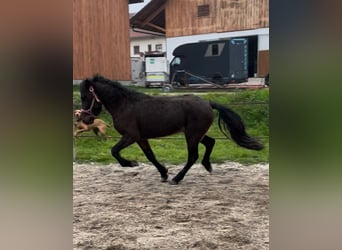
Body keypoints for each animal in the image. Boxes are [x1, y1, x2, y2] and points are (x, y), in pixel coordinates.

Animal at [79, 74, 262, 184]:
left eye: (84, 96)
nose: (85, 119)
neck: (125, 105)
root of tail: (208, 103)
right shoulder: (141, 137)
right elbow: (150, 156)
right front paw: (163, 173)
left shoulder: (131, 136)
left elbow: (114, 151)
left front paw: (131, 163)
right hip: (196, 134)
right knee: (210, 142)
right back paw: (207, 166)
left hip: (192, 135)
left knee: (193, 156)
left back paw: (177, 178)